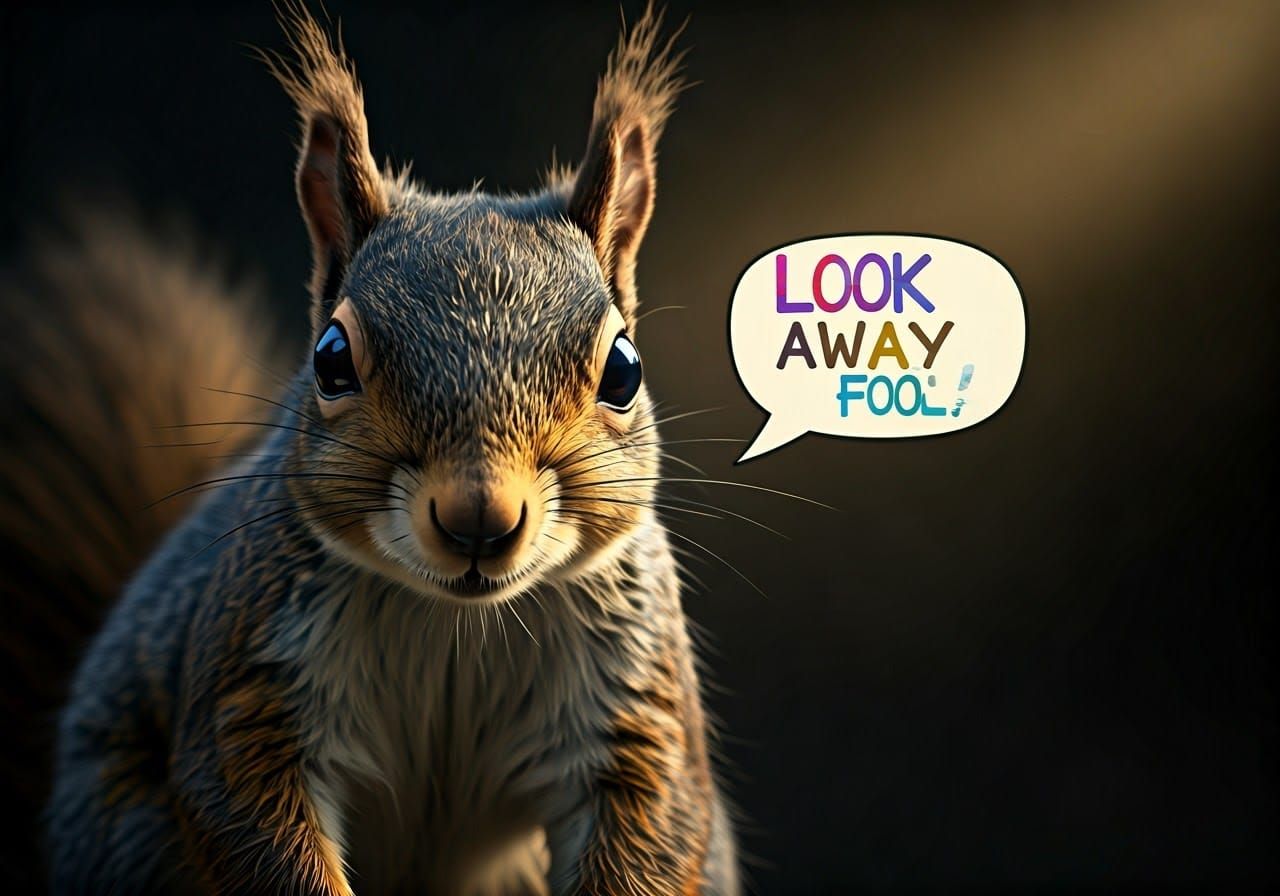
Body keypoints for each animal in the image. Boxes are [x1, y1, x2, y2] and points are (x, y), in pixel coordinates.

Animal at [13, 4, 740, 895]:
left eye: (624, 370)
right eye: (330, 358)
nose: (477, 517)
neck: (456, 620)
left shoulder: (634, 707)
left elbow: (648, 826)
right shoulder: (253, 678)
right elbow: (249, 812)